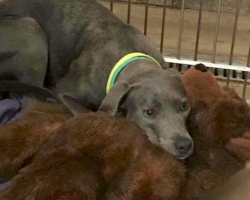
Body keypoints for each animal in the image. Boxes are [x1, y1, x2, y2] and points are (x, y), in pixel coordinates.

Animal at [0, 0, 193, 159]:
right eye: (149, 112)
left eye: (185, 106)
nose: (184, 145)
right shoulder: (63, 90)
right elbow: (87, 114)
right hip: (31, 30)